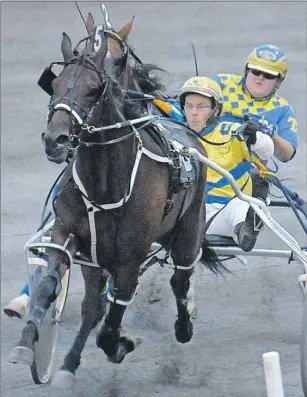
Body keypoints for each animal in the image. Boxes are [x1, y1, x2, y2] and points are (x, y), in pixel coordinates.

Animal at [8, 13, 223, 390]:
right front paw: (26, 345)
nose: (55, 140)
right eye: (56, 83)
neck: (104, 183)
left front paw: (123, 344)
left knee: (180, 280)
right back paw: (69, 364)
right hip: (96, 260)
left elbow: (114, 318)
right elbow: (50, 287)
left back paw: (183, 327)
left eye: (94, 88)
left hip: (188, 231)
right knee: (93, 307)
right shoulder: (68, 234)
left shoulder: (130, 257)